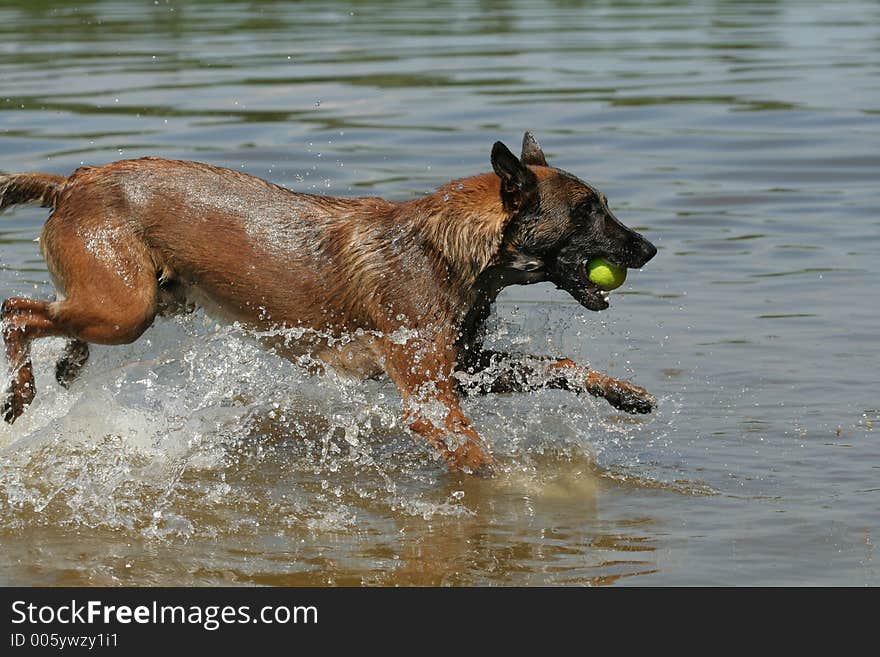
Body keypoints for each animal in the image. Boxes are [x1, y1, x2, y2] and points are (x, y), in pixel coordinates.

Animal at [0, 132, 656, 472]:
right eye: (588, 211)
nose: (648, 248)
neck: (447, 247)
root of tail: (73, 181)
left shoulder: (463, 368)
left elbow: (560, 367)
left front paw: (625, 393)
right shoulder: (430, 397)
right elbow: (479, 459)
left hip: (150, 300)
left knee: (52, 319)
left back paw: (67, 365)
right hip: (125, 309)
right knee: (16, 312)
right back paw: (21, 395)